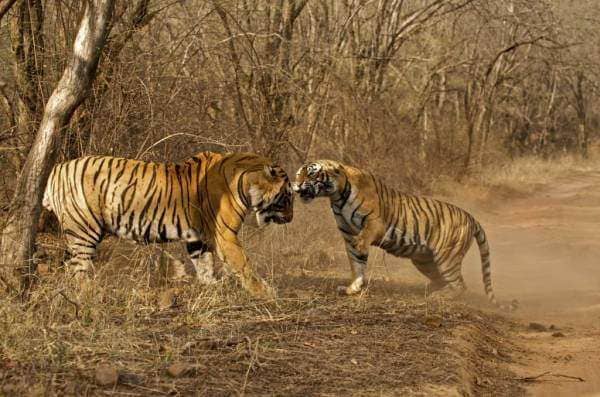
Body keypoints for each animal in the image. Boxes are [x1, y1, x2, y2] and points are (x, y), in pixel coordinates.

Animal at [42, 151, 292, 296]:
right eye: (287, 197)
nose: (290, 218)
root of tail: (56, 169)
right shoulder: (225, 235)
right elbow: (243, 264)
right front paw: (265, 292)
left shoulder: (197, 237)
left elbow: (204, 264)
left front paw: (211, 286)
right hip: (84, 228)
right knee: (78, 268)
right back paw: (90, 293)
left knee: (69, 264)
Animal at [294, 159, 516, 310]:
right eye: (298, 175)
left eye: (311, 174)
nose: (295, 186)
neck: (337, 196)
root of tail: (472, 217)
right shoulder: (347, 234)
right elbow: (357, 264)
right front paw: (352, 288)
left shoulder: (375, 223)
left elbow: (362, 241)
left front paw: (360, 250)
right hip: (425, 260)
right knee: (443, 280)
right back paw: (429, 290)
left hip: (447, 258)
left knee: (460, 286)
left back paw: (439, 296)